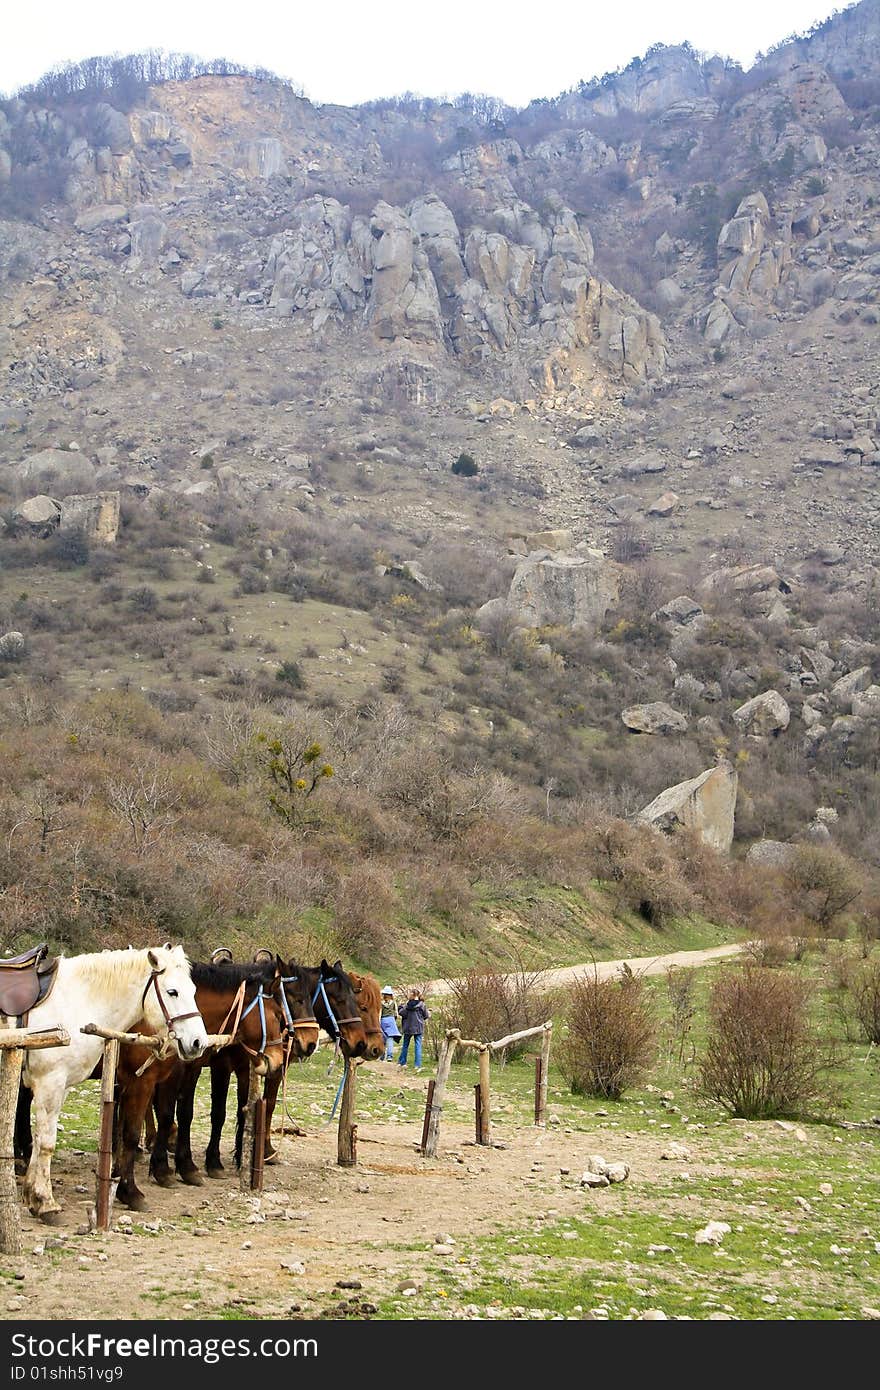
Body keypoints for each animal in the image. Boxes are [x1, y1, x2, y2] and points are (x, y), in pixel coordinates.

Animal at [15, 945, 207, 1217]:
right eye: (172, 992)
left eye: (193, 991)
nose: (199, 1042)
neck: (79, 1001)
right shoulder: (51, 1083)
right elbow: (47, 1143)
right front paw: (45, 1202)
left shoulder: (64, 1087)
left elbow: (43, 1138)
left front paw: (33, 1195)